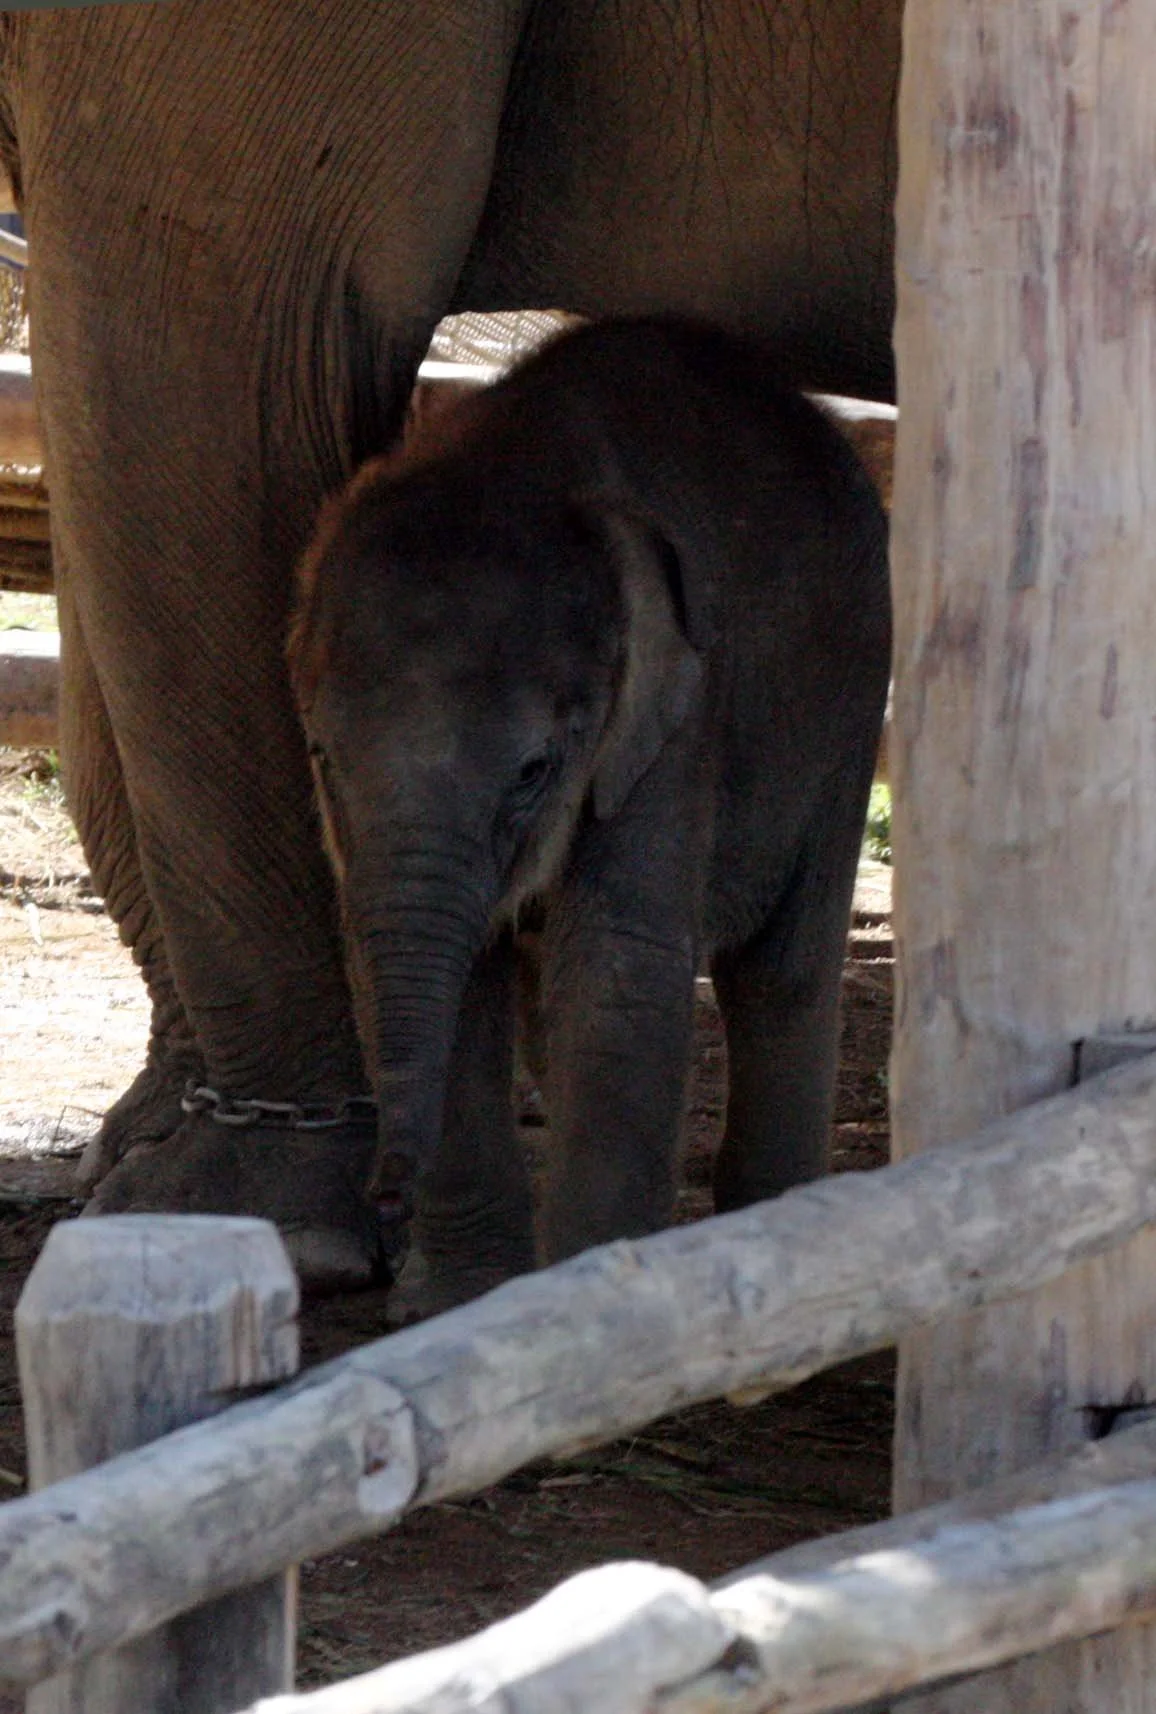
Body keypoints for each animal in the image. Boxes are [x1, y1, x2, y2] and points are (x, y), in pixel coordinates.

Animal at [288, 315, 892, 1313]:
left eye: (536, 771)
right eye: (322, 756)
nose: (383, 1201)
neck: (513, 454)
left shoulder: (675, 719)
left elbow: (619, 969)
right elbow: (446, 972)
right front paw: (465, 1306)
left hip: (846, 709)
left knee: (783, 967)